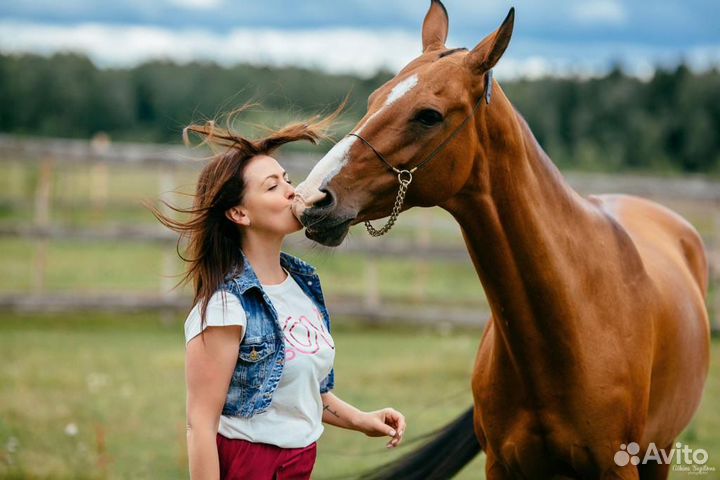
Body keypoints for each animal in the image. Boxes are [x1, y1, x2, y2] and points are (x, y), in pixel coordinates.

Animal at [292, 2, 711, 478]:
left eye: (429, 115)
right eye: (374, 100)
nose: (312, 197)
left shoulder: (619, 466)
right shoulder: (502, 464)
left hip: (660, 453)